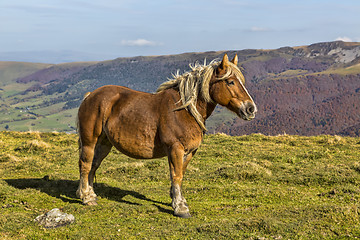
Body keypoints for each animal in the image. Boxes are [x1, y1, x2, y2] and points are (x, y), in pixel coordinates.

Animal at [76, 54, 258, 218]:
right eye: (230, 82)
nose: (251, 109)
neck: (185, 110)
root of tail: (90, 95)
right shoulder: (175, 149)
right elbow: (176, 176)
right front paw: (180, 208)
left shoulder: (189, 152)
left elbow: (181, 175)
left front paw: (178, 200)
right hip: (90, 141)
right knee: (85, 165)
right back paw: (86, 197)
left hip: (104, 143)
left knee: (93, 165)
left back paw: (91, 194)